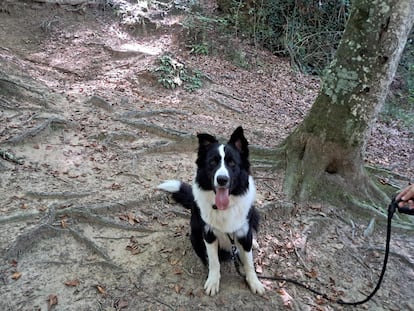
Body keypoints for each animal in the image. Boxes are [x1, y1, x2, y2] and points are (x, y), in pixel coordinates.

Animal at [157, 127, 264, 298]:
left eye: (232, 163)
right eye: (212, 162)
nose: (222, 179)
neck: (224, 208)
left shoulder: (243, 232)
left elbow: (249, 262)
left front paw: (254, 282)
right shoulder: (208, 233)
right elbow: (214, 262)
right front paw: (213, 281)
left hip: (253, 213)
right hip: (195, 234)